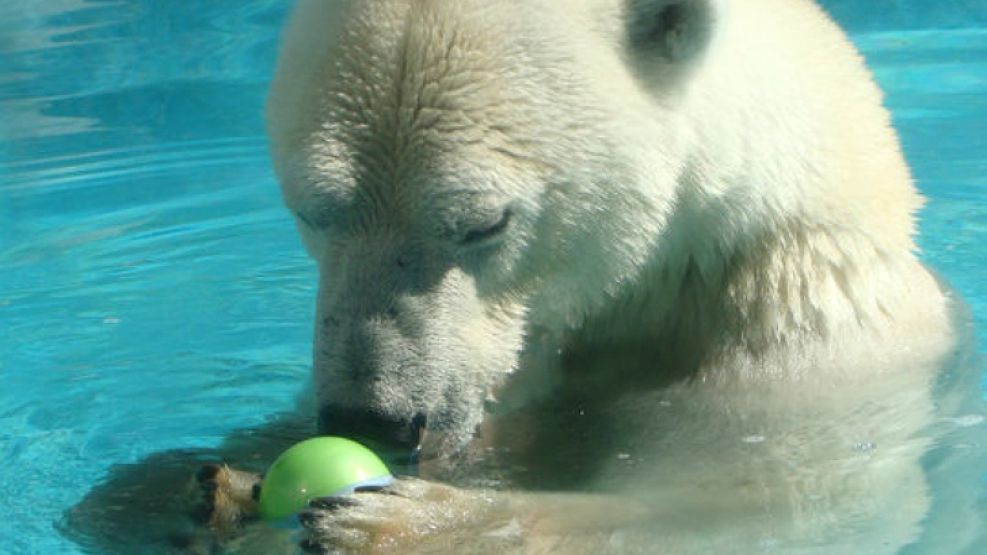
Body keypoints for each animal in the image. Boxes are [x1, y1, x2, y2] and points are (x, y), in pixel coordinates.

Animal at [201, 0, 964, 552]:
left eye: (484, 222)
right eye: (313, 211)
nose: (372, 417)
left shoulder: (804, 356)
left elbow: (732, 502)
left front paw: (409, 521)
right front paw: (210, 483)